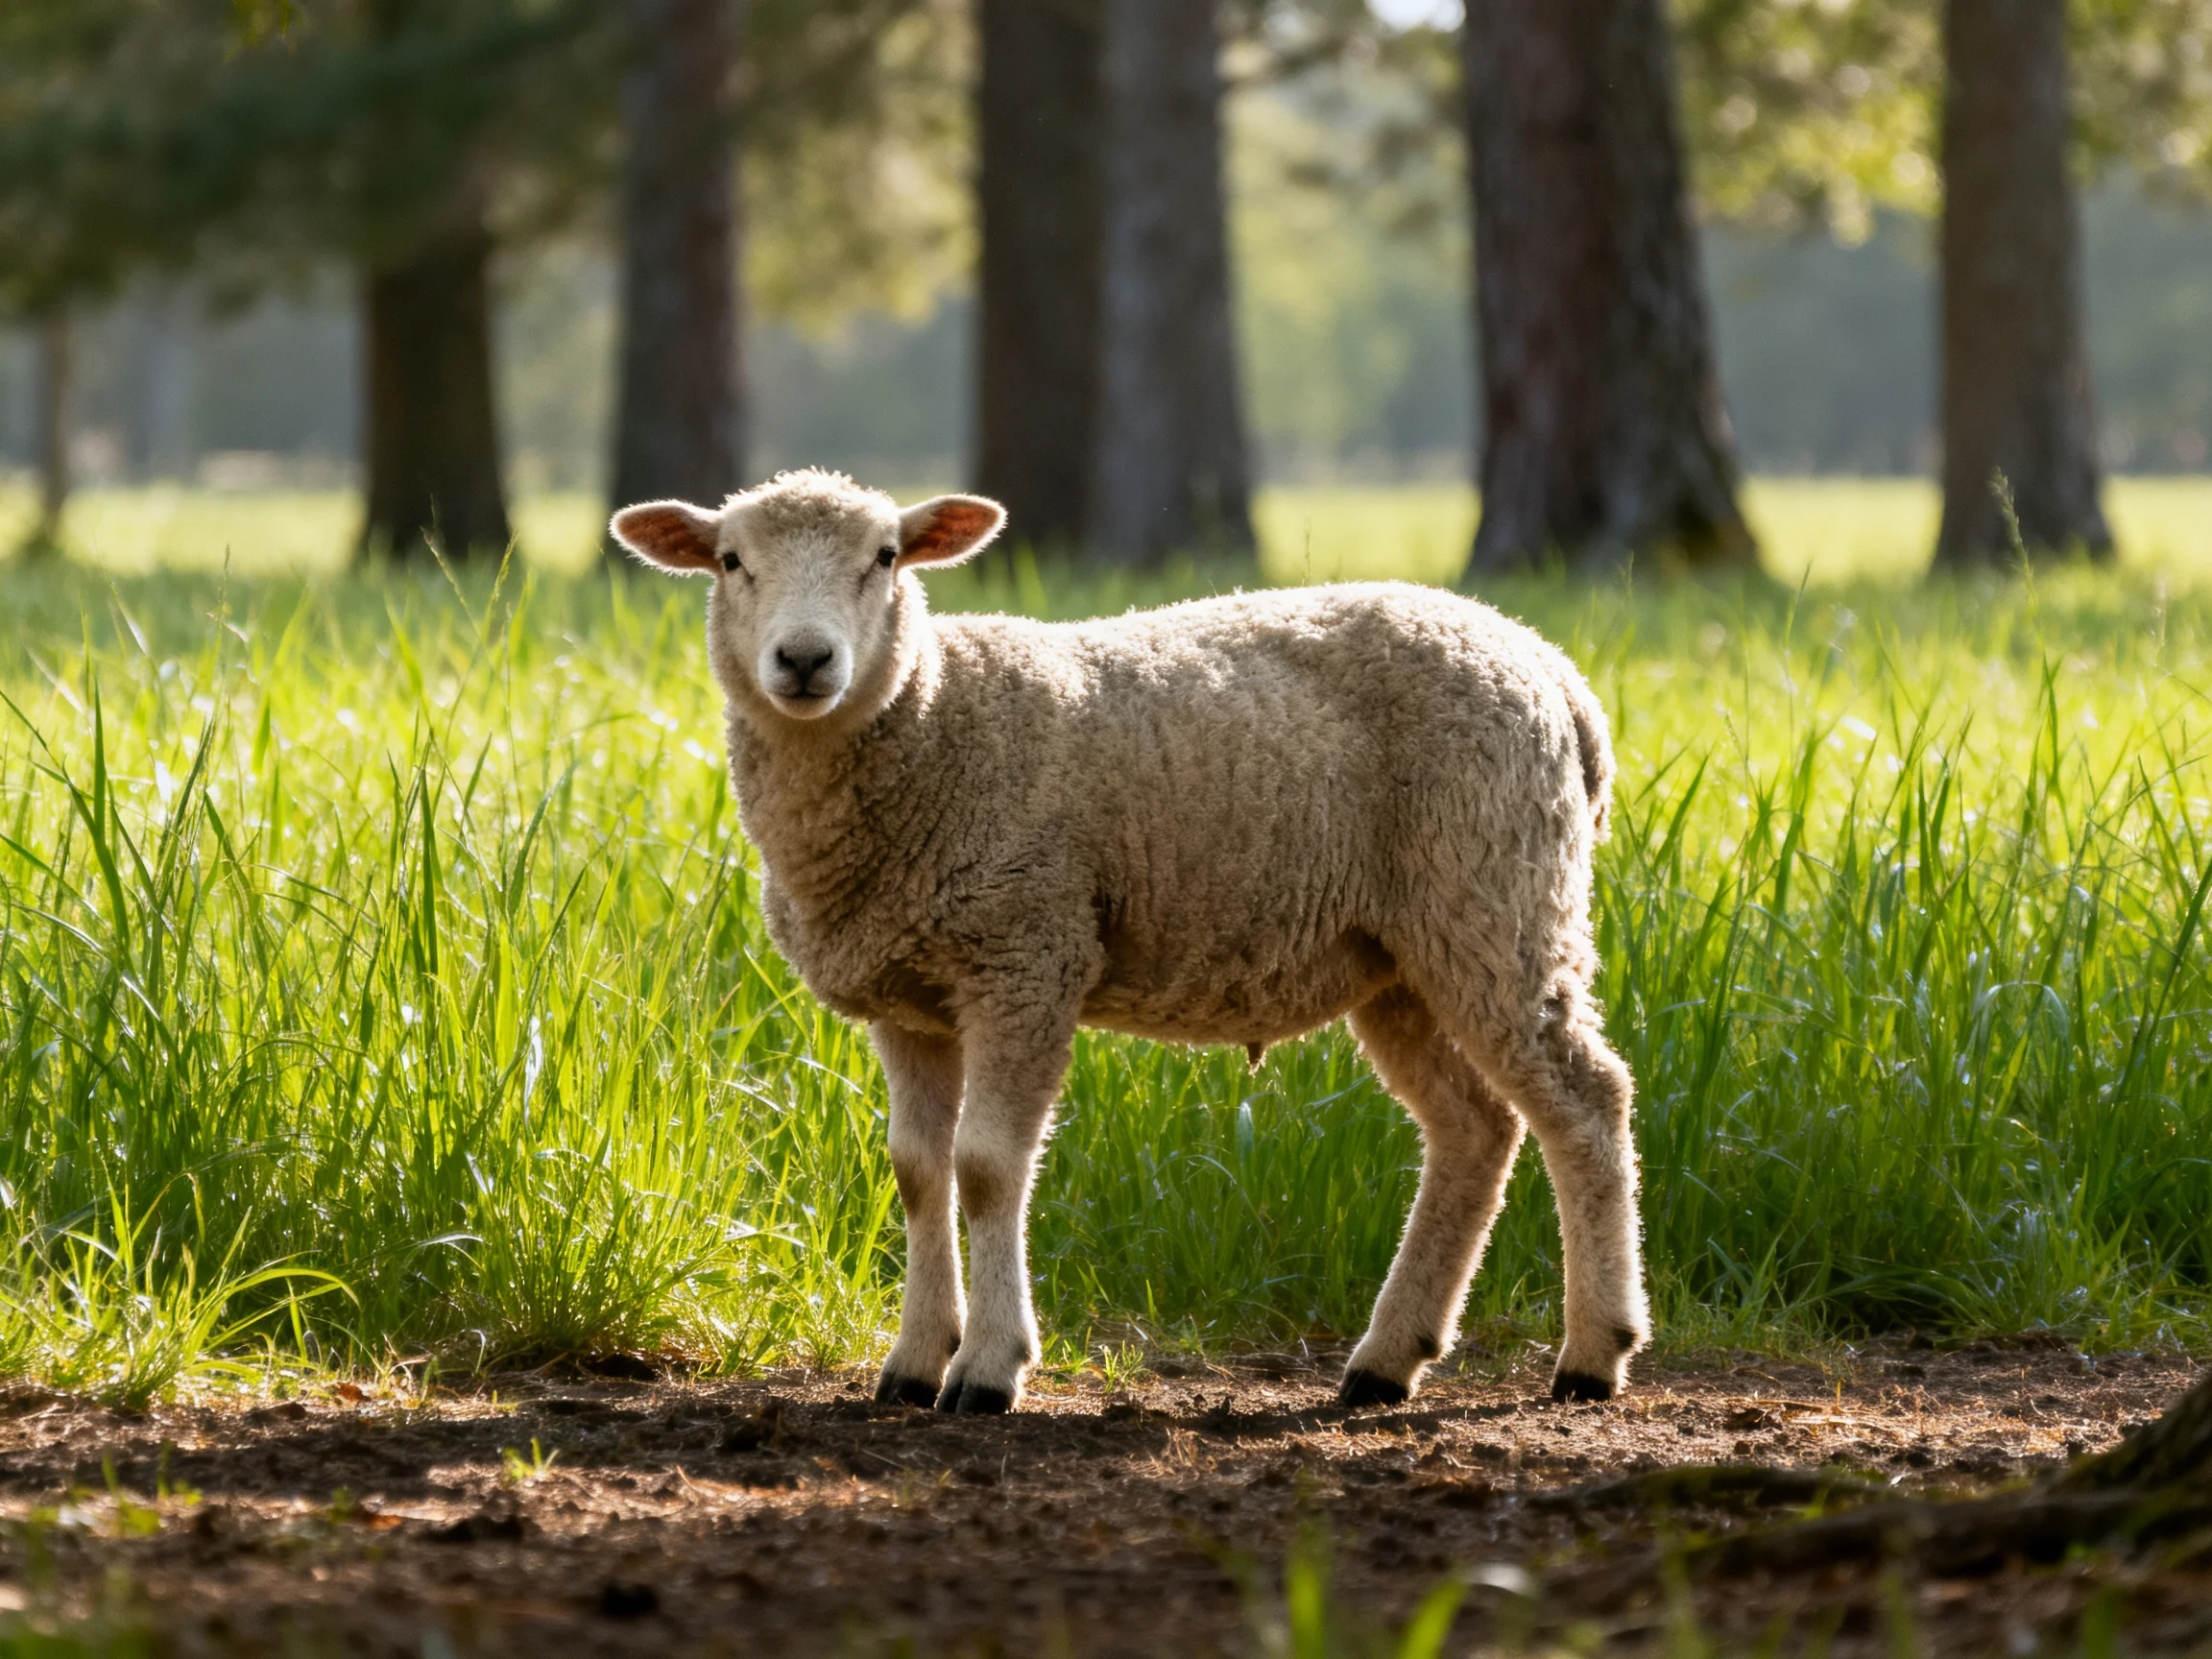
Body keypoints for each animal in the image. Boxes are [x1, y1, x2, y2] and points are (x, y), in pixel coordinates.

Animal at [611, 468, 1647, 1415]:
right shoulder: (910, 996)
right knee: (1475, 1128)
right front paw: (913, 1360)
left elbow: (987, 1166)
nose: (804, 659)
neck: (934, 719)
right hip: (1402, 956)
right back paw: (1387, 1361)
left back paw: (1592, 1355)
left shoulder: (1027, 954)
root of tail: (1554, 669)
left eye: (886, 557)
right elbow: (917, 1171)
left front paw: (988, 1368)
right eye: (732, 561)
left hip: (1496, 898)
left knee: (1586, 1102)